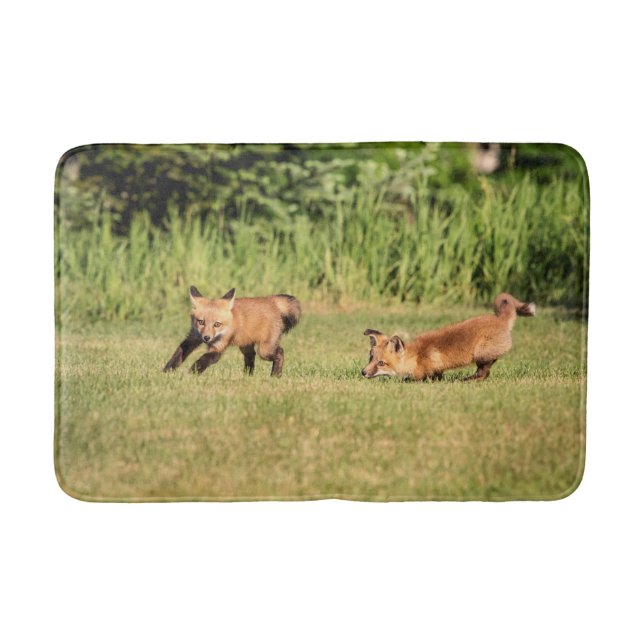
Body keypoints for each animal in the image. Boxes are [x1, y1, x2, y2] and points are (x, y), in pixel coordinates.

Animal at [163, 286, 301, 377]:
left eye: (217, 324)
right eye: (201, 322)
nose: (206, 338)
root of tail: (271, 300)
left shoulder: (219, 346)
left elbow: (203, 360)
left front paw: (191, 374)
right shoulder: (193, 337)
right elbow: (178, 354)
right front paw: (167, 371)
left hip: (264, 350)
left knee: (280, 352)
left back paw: (275, 375)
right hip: (246, 346)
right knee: (251, 357)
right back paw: (247, 376)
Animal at [361, 293, 536, 382]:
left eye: (381, 363)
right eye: (370, 358)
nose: (363, 372)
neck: (416, 357)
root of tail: (499, 319)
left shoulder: (428, 370)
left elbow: (416, 379)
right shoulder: (438, 369)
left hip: (481, 354)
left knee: (484, 373)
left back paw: (465, 380)